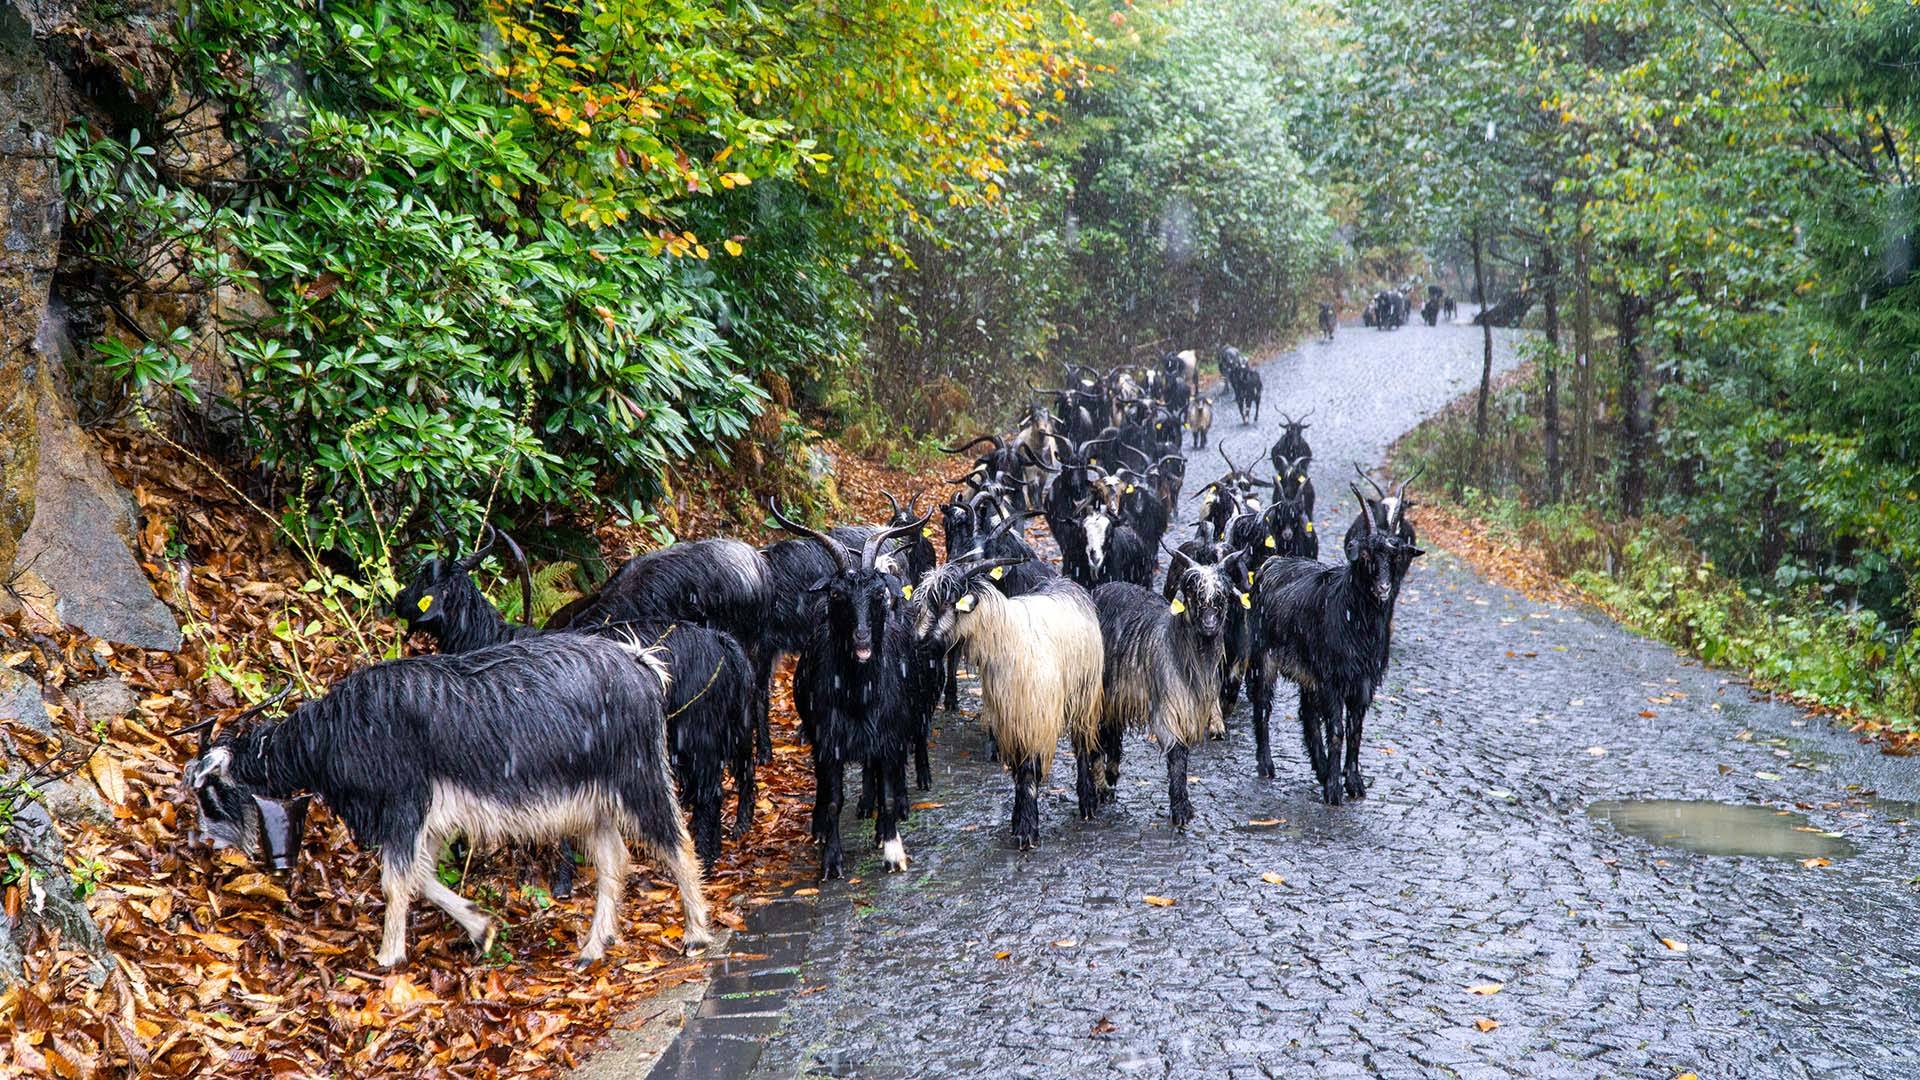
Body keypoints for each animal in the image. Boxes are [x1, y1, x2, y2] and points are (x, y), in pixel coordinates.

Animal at [178, 630, 706, 968]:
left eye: (209, 791)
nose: (205, 844)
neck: (335, 732)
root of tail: (641, 665)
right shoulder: (431, 819)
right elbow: (422, 877)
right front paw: (481, 929)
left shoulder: (404, 804)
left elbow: (396, 881)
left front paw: (388, 956)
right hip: (593, 804)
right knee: (615, 860)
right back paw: (593, 949)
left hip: (638, 777)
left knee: (677, 844)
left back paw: (697, 936)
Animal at [910, 557, 1105, 845]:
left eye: (947, 605)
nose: (918, 643)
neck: (1006, 639)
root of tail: (1068, 585)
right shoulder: (1006, 720)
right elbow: (1017, 772)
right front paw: (1017, 821)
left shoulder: (1035, 718)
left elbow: (1029, 771)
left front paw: (1027, 830)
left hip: (1084, 693)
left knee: (1081, 745)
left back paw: (1087, 803)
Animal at [1098, 568, 1228, 826]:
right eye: (1193, 593)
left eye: (1222, 596)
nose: (1209, 623)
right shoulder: (1168, 705)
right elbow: (1176, 753)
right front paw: (1181, 809)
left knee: (1112, 730)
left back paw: (1111, 776)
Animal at [1244, 486, 1428, 799]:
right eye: (1365, 555)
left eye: (1395, 557)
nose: (1383, 588)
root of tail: (1273, 562)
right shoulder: (1333, 678)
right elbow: (1337, 729)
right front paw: (1333, 789)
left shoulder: (1363, 681)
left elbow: (1355, 731)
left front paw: (1353, 782)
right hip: (1263, 657)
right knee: (1263, 705)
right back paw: (1266, 765)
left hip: (1309, 672)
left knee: (1306, 713)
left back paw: (1318, 767)